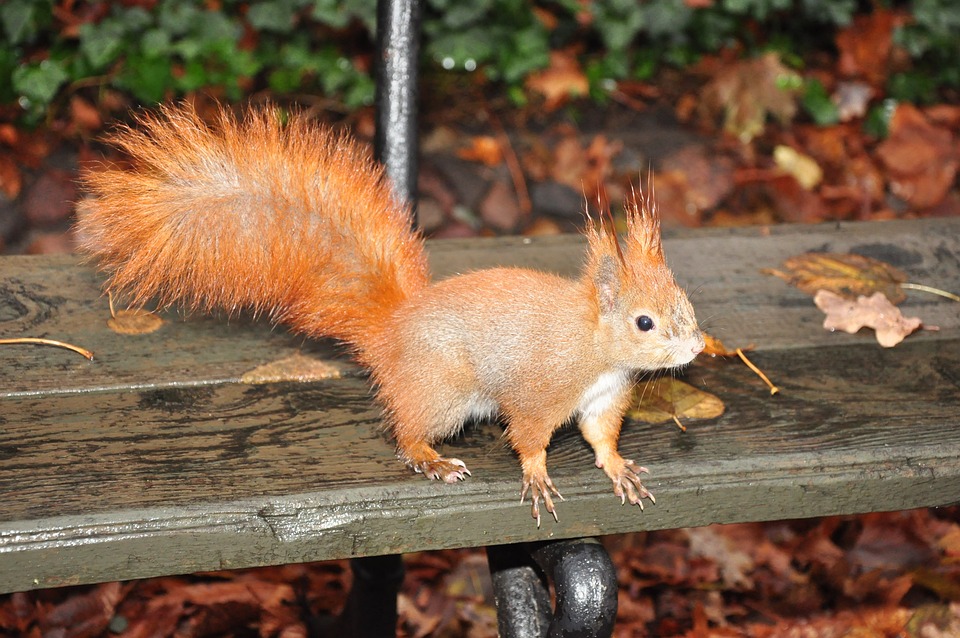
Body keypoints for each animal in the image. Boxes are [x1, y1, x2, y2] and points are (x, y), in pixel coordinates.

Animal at [75, 104, 704, 524]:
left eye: (686, 303)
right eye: (644, 322)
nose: (698, 346)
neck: (595, 349)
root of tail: (392, 331)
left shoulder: (603, 398)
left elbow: (600, 438)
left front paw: (618, 467)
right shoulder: (540, 389)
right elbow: (527, 436)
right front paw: (537, 475)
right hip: (444, 390)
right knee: (405, 432)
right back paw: (432, 459)